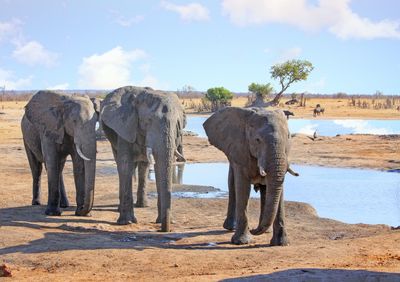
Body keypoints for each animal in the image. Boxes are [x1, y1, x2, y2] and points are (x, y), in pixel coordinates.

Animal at [101, 86, 186, 231]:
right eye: (148, 121)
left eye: (178, 124)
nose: (164, 229)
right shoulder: (125, 126)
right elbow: (125, 165)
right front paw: (127, 222)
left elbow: (159, 167)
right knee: (121, 166)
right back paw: (120, 209)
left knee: (143, 166)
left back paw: (142, 205)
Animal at [205, 107, 296, 246]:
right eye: (257, 140)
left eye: (288, 137)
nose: (253, 229)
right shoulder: (240, 150)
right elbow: (242, 187)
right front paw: (241, 242)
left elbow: (278, 190)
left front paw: (281, 243)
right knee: (232, 185)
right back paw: (231, 227)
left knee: (265, 190)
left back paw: (265, 230)